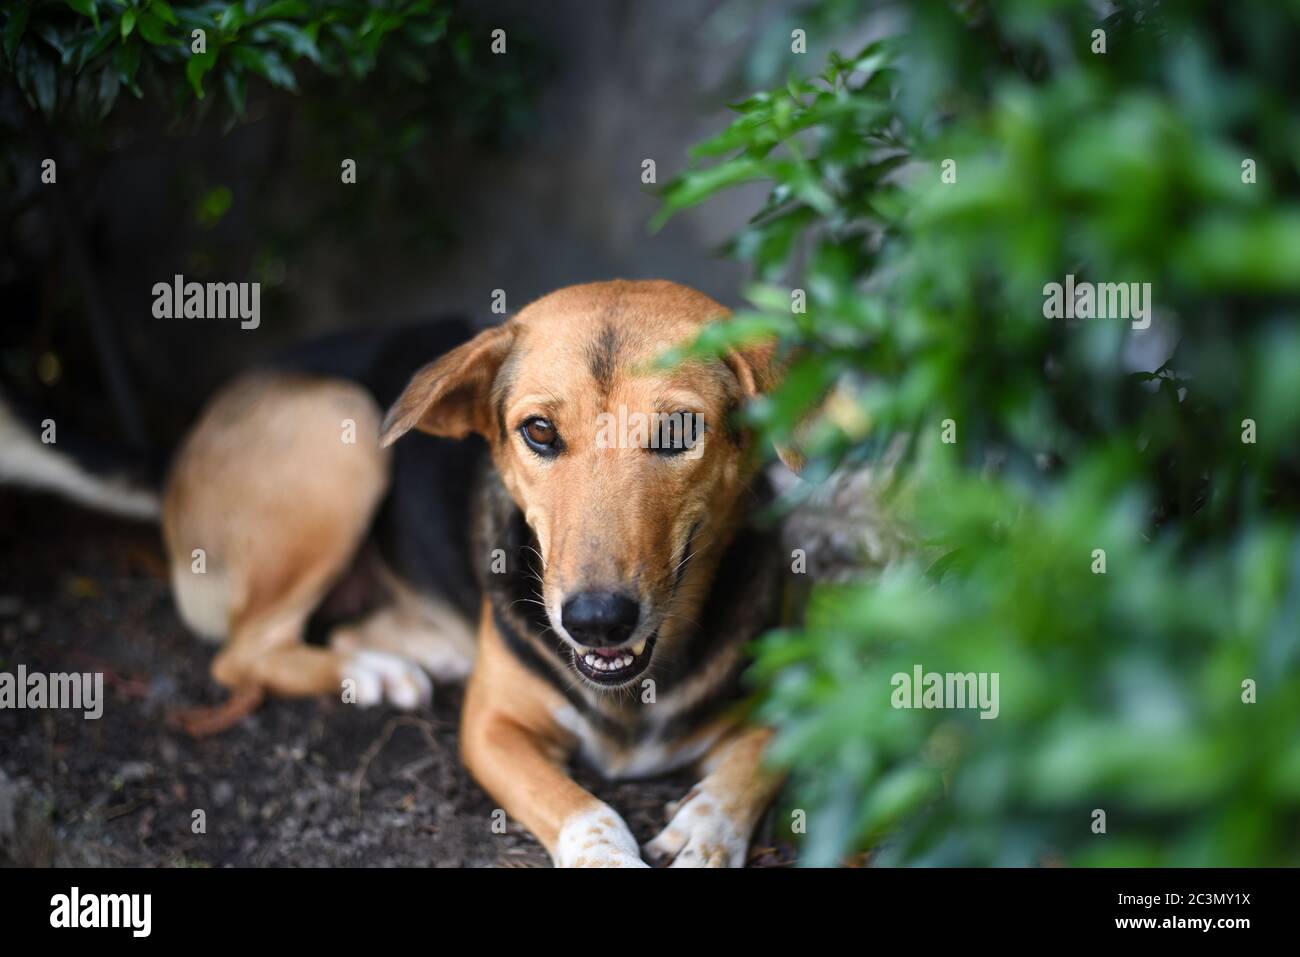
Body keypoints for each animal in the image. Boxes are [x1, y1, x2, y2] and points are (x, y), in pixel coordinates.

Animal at [161, 278, 795, 868]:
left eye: (680, 430)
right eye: (539, 431)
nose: (597, 621)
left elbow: (757, 760)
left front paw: (706, 833)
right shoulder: (491, 728)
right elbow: (586, 811)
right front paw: (610, 857)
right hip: (342, 425)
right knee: (242, 653)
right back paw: (371, 671)